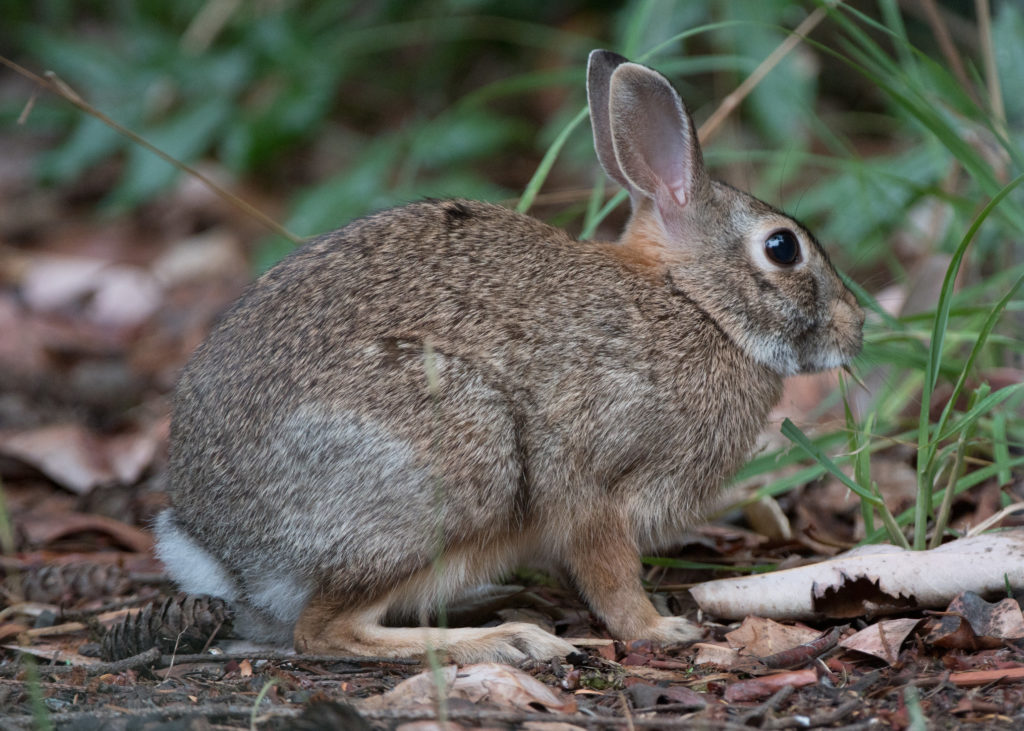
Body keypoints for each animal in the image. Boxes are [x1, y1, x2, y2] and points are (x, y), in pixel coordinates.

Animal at [153, 48, 864, 663]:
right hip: (460, 467)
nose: (855, 328)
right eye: (782, 248)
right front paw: (662, 630)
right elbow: (610, 576)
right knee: (324, 630)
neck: (694, 303)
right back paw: (509, 641)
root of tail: (221, 551)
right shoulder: (598, 485)